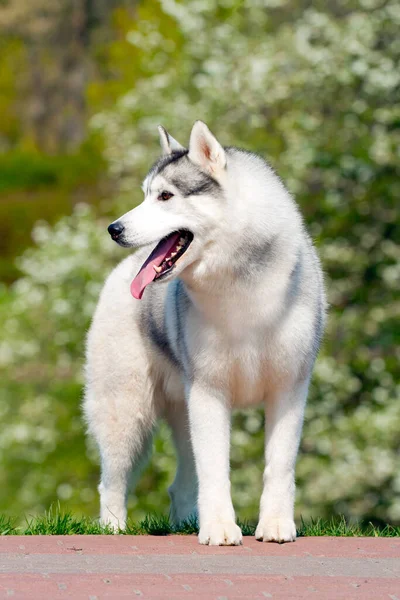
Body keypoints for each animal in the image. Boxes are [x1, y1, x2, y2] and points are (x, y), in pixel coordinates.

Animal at [83, 120, 324, 544]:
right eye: (145, 195)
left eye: (165, 196)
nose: (114, 228)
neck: (240, 290)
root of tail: (125, 268)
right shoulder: (210, 392)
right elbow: (215, 471)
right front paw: (220, 529)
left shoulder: (289, 388)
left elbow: (279, 467)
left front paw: (276, 524)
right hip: (124, 411)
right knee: (112, 479)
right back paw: (113, 528)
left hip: (182, 410)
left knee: (181, 482)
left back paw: (184, 523)